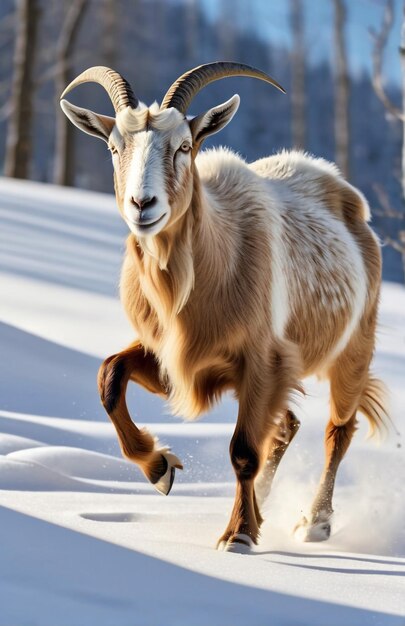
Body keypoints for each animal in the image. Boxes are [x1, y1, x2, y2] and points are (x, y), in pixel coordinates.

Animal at [60, 62, 388, 552]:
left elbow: (243, 450)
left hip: (353, 347)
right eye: (115, 146)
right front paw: (160, 468)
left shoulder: (263, 361)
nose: (142, 204)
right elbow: (110, 376)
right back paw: (266, 500)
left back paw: (314, 522)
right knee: (287, 424)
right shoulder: (178, 359)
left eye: (183, 146)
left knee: (338, 430)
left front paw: (239, 535)